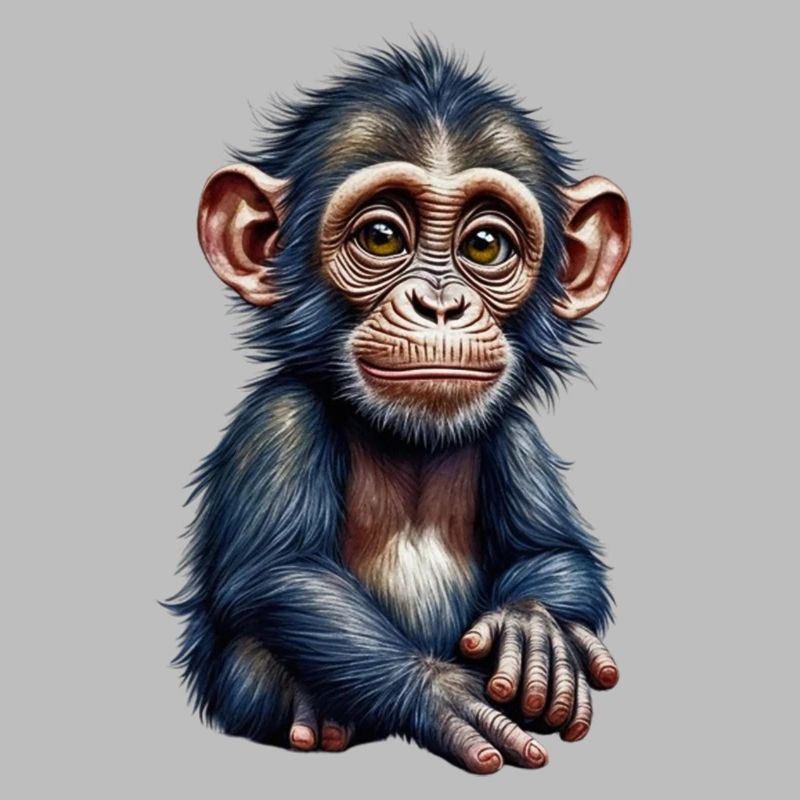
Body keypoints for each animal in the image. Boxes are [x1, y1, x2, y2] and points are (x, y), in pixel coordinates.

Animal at [166, 38, 631, 774]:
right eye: (382, 236)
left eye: (485, 246)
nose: (439, 305)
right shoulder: (278, 422)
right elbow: (281, 571)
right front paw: (441, 691)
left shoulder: (518, 435)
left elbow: (556, 548)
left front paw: (534, 628)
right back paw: (315, 718)